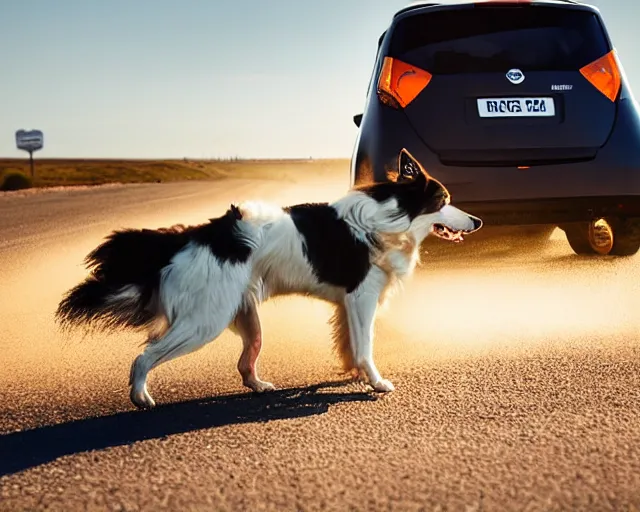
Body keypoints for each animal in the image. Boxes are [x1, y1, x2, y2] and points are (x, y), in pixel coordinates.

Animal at [57, 148, 482, 408]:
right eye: (444, 201)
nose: (477, 221)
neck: (390, 215)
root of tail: (197, 233)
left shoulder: (347, 304)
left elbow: (350, 345)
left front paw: (352, 374)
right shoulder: (361, 298)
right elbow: (365, 346)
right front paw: (375, 382)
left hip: (244, 319)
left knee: (245, 364)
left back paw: (258, 385)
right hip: (203, 322)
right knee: (145, 354)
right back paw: (140, 396)